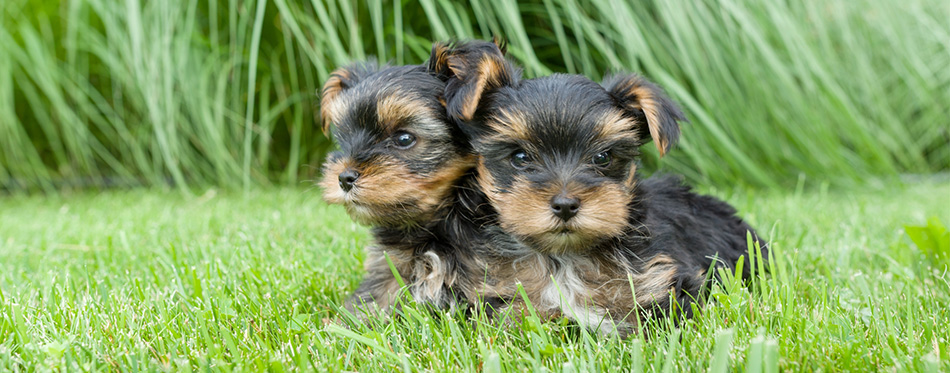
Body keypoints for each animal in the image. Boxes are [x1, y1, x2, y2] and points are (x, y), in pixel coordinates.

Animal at [438, 42, 768, 334]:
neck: (563, 257)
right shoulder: (498, 290)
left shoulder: (662, 280)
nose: (566, 205)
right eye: (519, 157)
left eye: (602, 157)